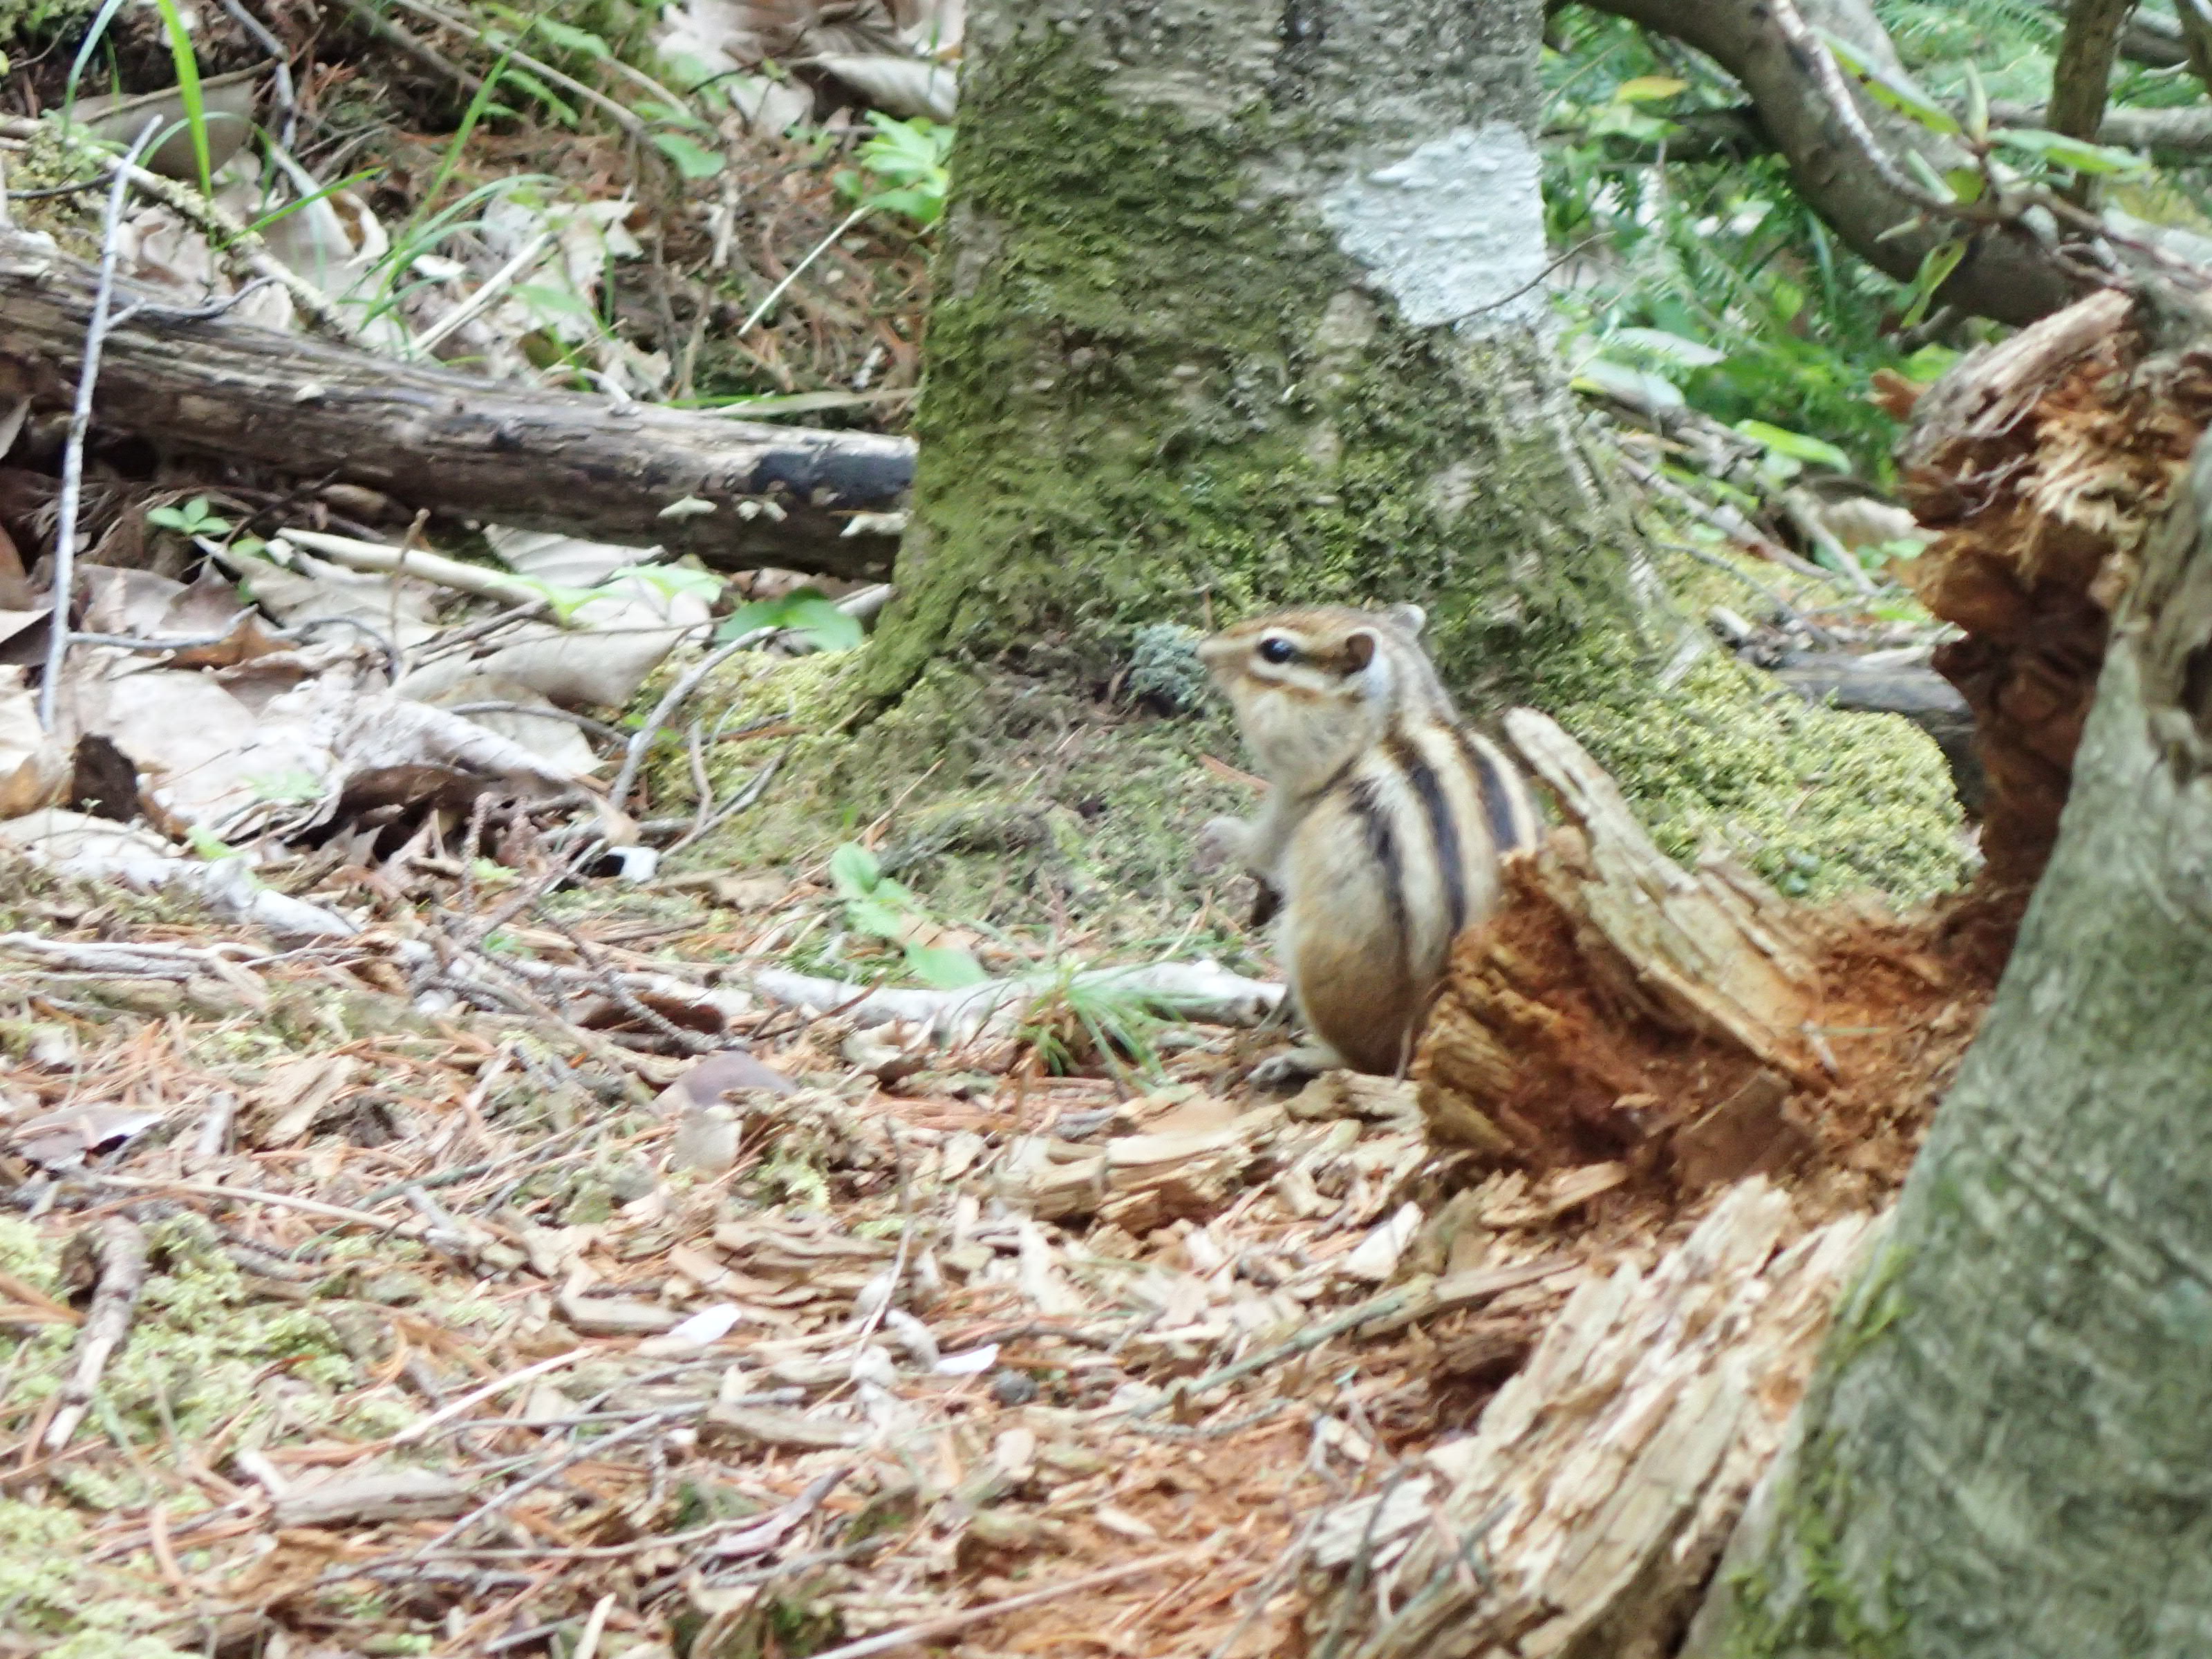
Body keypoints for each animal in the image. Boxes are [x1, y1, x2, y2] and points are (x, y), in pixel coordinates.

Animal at [1196, 603, 1540, 1079]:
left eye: (1276, 650)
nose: (1201, 651)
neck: (1394, 724)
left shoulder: (1295, 807)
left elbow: (1261, 848)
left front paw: (1217, 834)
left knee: (1361, 1061)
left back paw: (1297, 1057)